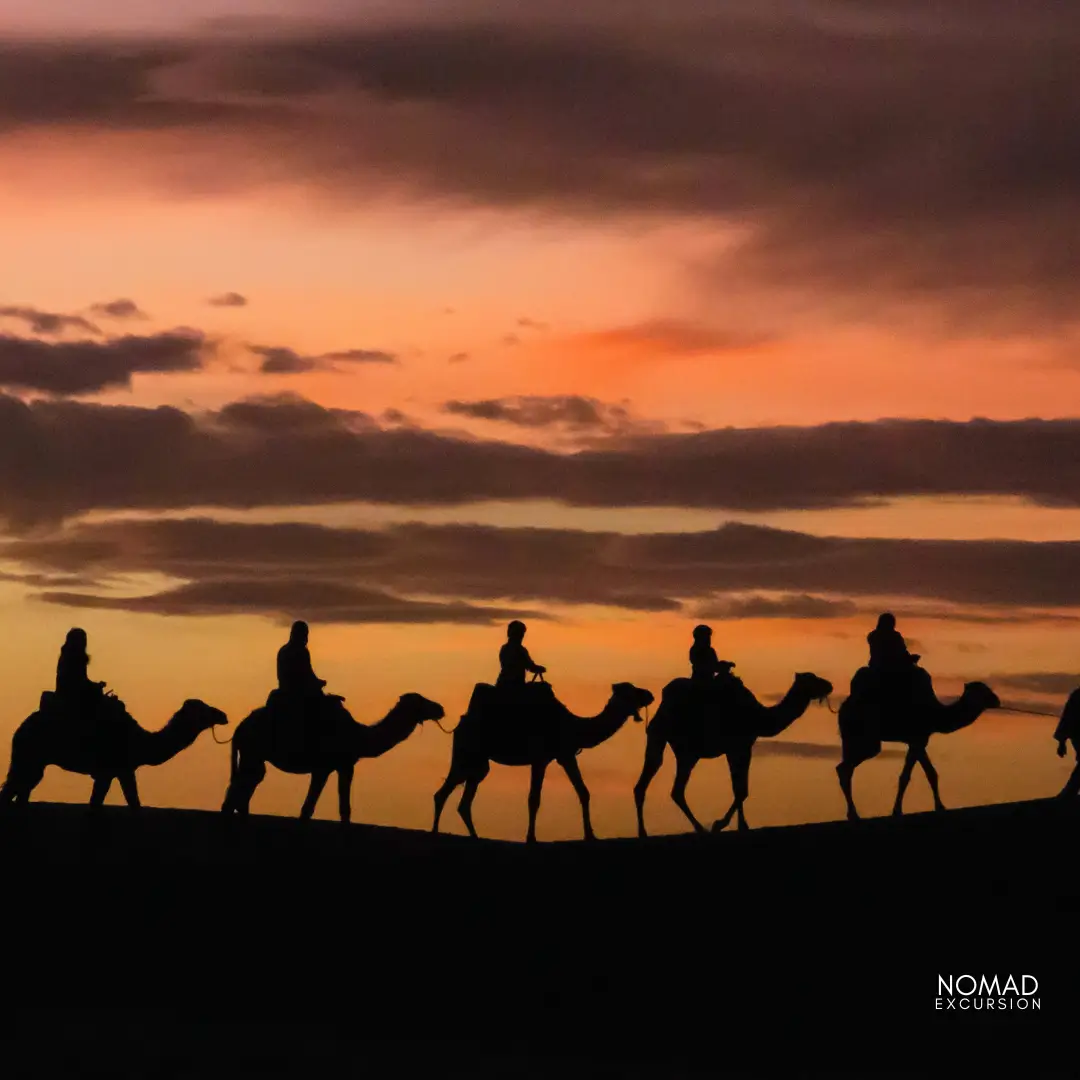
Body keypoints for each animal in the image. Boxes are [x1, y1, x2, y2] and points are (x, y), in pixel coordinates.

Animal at [0, 691, 227, 812]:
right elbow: (110, 803)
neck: (140, 741)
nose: (223, 715)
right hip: (28, 756)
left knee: (21, 791)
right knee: (11, 790)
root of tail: (21, 727)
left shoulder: (120, 771)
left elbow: (128, 802)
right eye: (203, 709)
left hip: (34, 762)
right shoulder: (112, 770)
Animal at [221, 691, 444, 816]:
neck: (358, 735)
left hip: (252, 756)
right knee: (239, 792)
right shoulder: (325, 768)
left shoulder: (342, 766)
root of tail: (240, 727)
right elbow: (310, 808)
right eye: (420, 701)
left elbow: (341, 809)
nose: (440, 708)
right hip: (252, 752)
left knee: (245, 787)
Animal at [427, 673, 648, 842]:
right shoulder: (540, 759)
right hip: (466, 754)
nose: (650, 695)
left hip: (478, 764)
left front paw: (591, 835)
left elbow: (583, 792)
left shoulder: (566, 755)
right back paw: (436, 833)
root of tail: (459, 725)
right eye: (633, 691)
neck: (573, 726)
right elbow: (534, 799)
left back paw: (474, 836)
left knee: (463, 801)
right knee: (443, 793)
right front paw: (531, 838)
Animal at [630, 669, 829, 838]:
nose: (830, 685)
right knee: (671, 786)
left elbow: (739, 788)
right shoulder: (740, 747)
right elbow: (741, 789)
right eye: (813, 679)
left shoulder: (737, 748)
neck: (759, 717)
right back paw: (694, 828)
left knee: (659, 783)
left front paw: (738, 825)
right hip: (678, 745)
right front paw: (724, 824)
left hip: (670, 744)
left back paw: (650, 831)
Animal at [833, 665, 1002, 816]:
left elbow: (930, 773)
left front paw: (940, 806)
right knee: (844, 768)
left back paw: (852, 813)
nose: (997, 700)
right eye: (983, 690)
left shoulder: (919, 740)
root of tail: (842, 708)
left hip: (850, 737)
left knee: (845, 768)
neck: (936, 714)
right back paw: (853, 813)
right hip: (867, 739)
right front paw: (897, 811)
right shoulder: (917, 740)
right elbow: (907, 776)